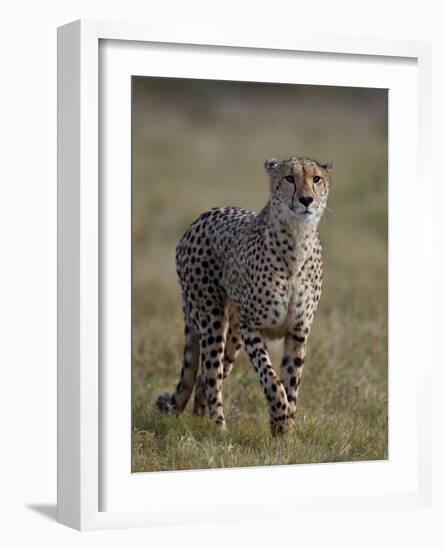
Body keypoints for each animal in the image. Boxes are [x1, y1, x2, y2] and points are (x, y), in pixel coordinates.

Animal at [157, 157, 332, 438]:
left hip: (233, 334)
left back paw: (200, 421)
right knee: (211, 375)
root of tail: (201, 218)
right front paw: (281, 415)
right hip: (212, 320)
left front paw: (286, 432)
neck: (296, 241)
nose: (306, 200)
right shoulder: (251, 327)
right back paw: (219, 429)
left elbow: (291, 382)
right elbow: (271, 379)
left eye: (316, 179)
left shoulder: (297, 332)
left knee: (203, 378)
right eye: (289, 178)